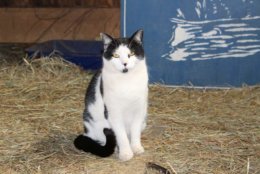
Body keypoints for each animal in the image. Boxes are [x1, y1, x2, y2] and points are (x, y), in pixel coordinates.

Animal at [74, 29, 149, 161]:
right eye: (116, 55)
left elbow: (135, 131)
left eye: (131, 54)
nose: (125, 63)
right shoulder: (113, 113)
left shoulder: (139, 110)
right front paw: (125, 153)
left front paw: (136, 148)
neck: (127, 81)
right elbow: (121, 135)